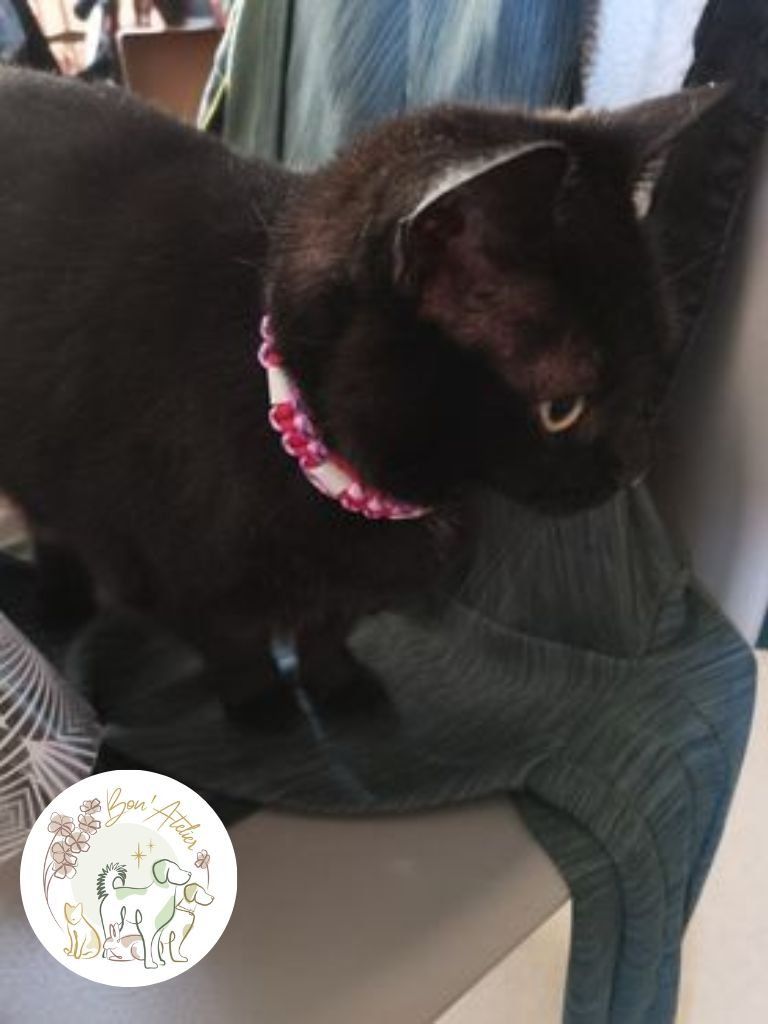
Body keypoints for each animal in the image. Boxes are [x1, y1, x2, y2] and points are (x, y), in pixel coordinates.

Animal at [0, 68, 724, 726]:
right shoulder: (174, 573)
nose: (637, 467)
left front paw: (336, 684)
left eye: (654, 369)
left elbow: (328, 628)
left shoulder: (354, 586)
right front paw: (262, 706)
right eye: (562, 407)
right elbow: (231, 639)